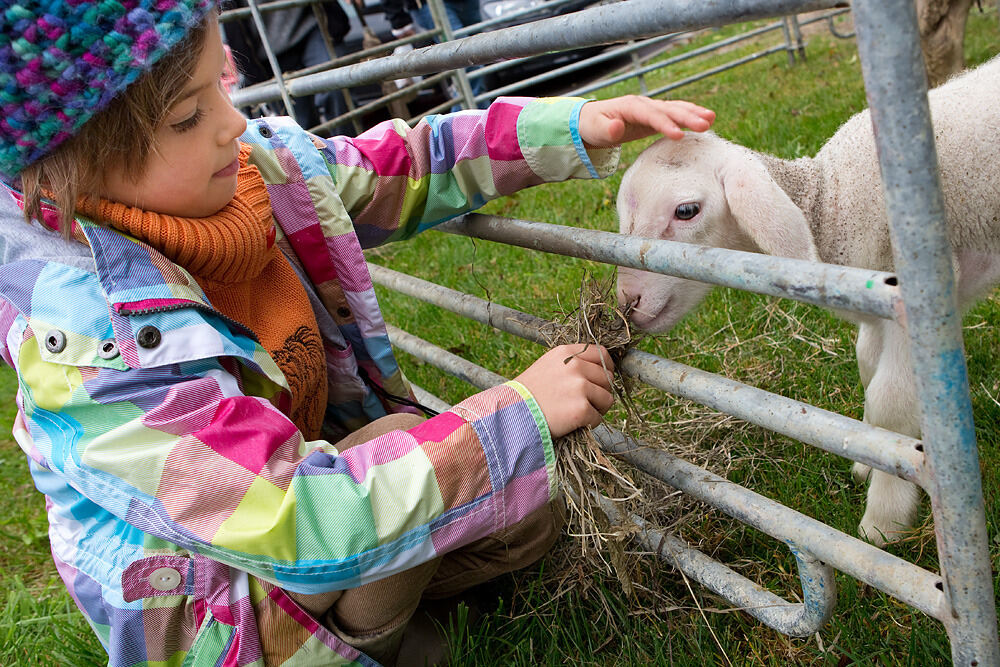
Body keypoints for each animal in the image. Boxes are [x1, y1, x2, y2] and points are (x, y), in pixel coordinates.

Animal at [616, 56, 1000, 548]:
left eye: (686, 211)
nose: (628, 300)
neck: (824, 205)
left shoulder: (914, 305)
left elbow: (891, 403)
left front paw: (884, 521)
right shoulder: (874, 307)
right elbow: (867, 366)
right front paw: (866, 457)